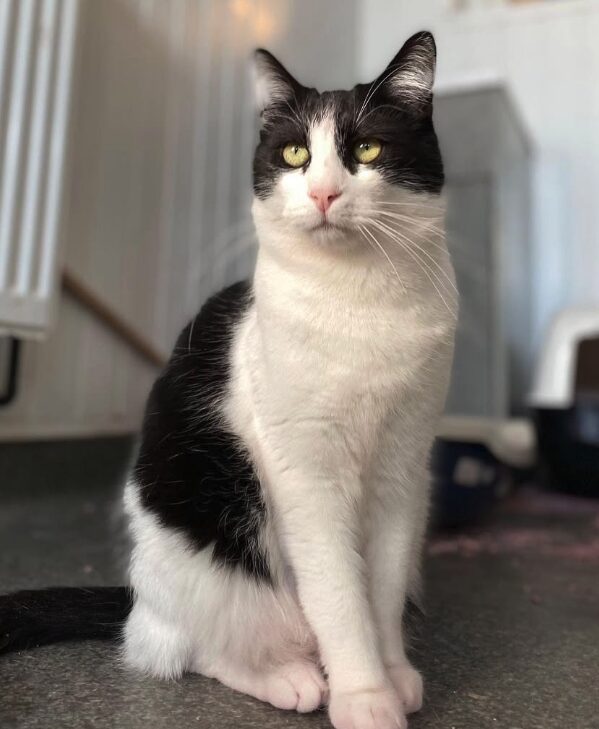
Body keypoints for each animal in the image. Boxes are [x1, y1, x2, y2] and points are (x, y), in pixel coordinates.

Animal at [1, 31, 460, 728]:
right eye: (296, 154)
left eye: (367, 149)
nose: (324, 194)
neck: (359, 300)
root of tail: (137, 596)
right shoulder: (307, 477)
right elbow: (340, 595)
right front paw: (364, 697)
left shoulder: (402, 471)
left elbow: (377, 594)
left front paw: (394, 674)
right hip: (202, 545)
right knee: (188, 647)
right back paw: (292, 679)